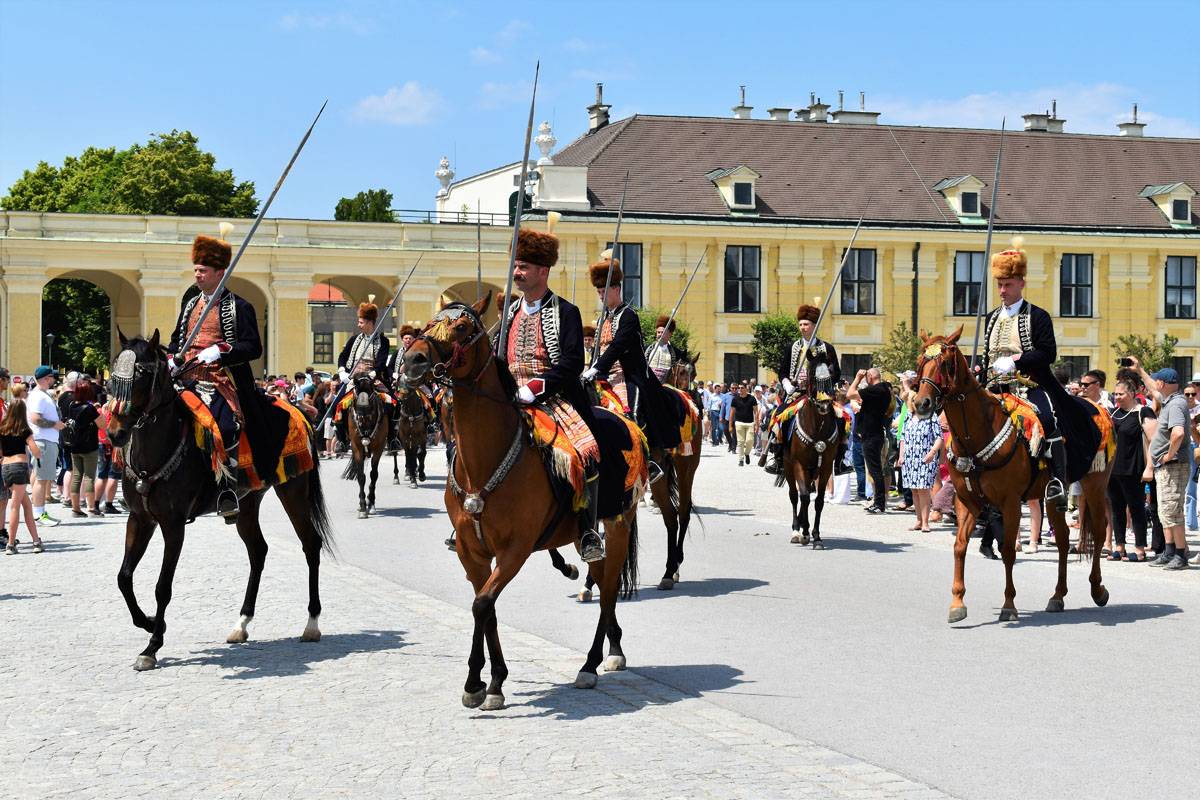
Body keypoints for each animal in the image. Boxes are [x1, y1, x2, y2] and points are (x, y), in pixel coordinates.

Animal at [106, 331, 333, 671]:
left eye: (142, 375)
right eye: (113, 379)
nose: (115, 433)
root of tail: (297, 410)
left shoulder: (173, 525)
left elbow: (162, 587)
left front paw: (153, 644)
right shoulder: (140, 519)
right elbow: (124, 578)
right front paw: (148, 622)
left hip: (293, 491)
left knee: (310, 545)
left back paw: (312, 623)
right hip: (248, 502)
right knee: (258, 551)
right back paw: (241, 623)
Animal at [340, 374, 386, 520]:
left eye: (370, 396)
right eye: (356, 396)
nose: (360, 419)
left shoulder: (379, 448)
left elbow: (373, 475)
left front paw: (370, 504)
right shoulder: (356, 447)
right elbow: (361, 476)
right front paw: (362, 507)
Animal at [403, 292, 643, 705]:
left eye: (461, 327)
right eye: (431, 322)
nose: (412, 359)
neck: (485, 460)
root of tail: (626, 421)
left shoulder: (514, 550)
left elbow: (482, 604)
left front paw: (476, 682)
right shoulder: (472, 553)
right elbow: (487, 608)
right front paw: (494, 680)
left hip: (616, 526)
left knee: (609, 592)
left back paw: (591, 664)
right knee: (600, 583)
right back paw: (610, 648)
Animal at [777, 393, 844, 551]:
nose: (823, 406)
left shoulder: (826, 467)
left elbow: (818, 501)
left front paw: (817, 537)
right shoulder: (799, 465)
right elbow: (804, 497)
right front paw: (806, 534)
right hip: (789, 467)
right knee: (795, 496)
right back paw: (796, 530)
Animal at [907, 326, 1113, 623]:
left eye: (945, 364)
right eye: (921, 361)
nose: (921, 403)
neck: (977, 436)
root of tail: (1099, 409)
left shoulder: (1011, 502)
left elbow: (1007, 550)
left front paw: (1008, 604)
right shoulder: (967, 501)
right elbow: (959, 546)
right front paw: (957, 603)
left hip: (1095, 483)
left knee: (1097, 531)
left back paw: (1098, 589)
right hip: (1053, 497)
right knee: (1063, 538)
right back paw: (1057, 596)